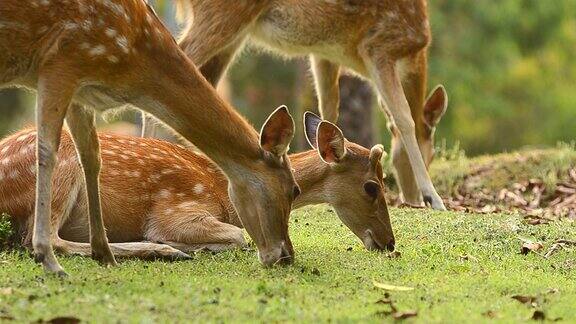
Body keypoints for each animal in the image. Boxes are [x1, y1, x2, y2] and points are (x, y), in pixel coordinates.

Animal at [0, 112, 396, 260]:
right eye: (372, 187)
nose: (390, 243)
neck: (225, 192)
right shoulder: (177, 207)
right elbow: (238, 236)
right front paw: (181, 244)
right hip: (61, 171)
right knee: (44, 240)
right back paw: (163, 250)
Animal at [2, 0, 302, 274]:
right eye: (294, 190)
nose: (286, 255)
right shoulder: (62, 61)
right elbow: (47, 150)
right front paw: (49, 259)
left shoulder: (81, 90)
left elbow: (91, 156)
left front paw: (104, 253)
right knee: (42, 236)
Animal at [153, 0, 450, 210]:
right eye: (433, 154)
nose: (411, 200)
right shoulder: (378, 46)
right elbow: (405, 118)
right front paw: (434, 198)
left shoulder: (325, 52)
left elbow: (329, 109)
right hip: (224, 13)